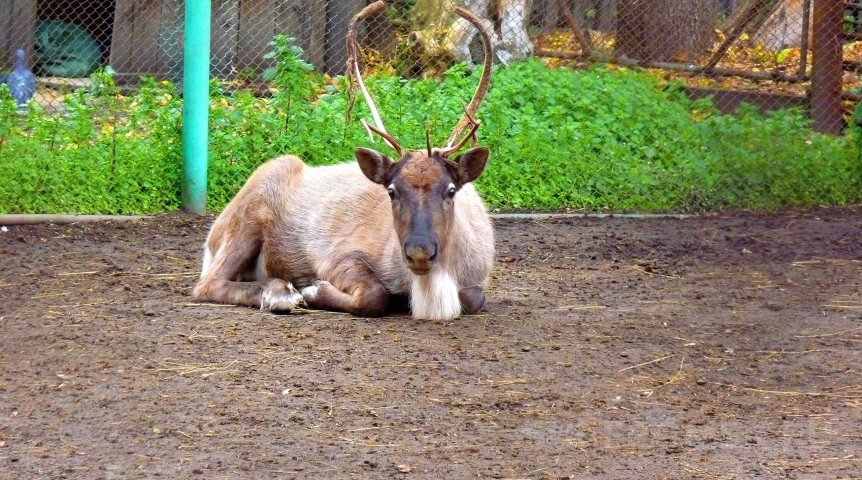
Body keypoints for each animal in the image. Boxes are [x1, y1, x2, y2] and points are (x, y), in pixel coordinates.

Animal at [192, 1, 495, 321]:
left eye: (451, 190)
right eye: (391, 191)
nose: (420, 252)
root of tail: (213, 236)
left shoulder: (477, 279)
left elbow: (474, 297)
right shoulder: (339, 256)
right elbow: (374, 296)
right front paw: (313, 290)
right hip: (248, 217)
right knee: (207, 284)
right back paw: (281, 293)